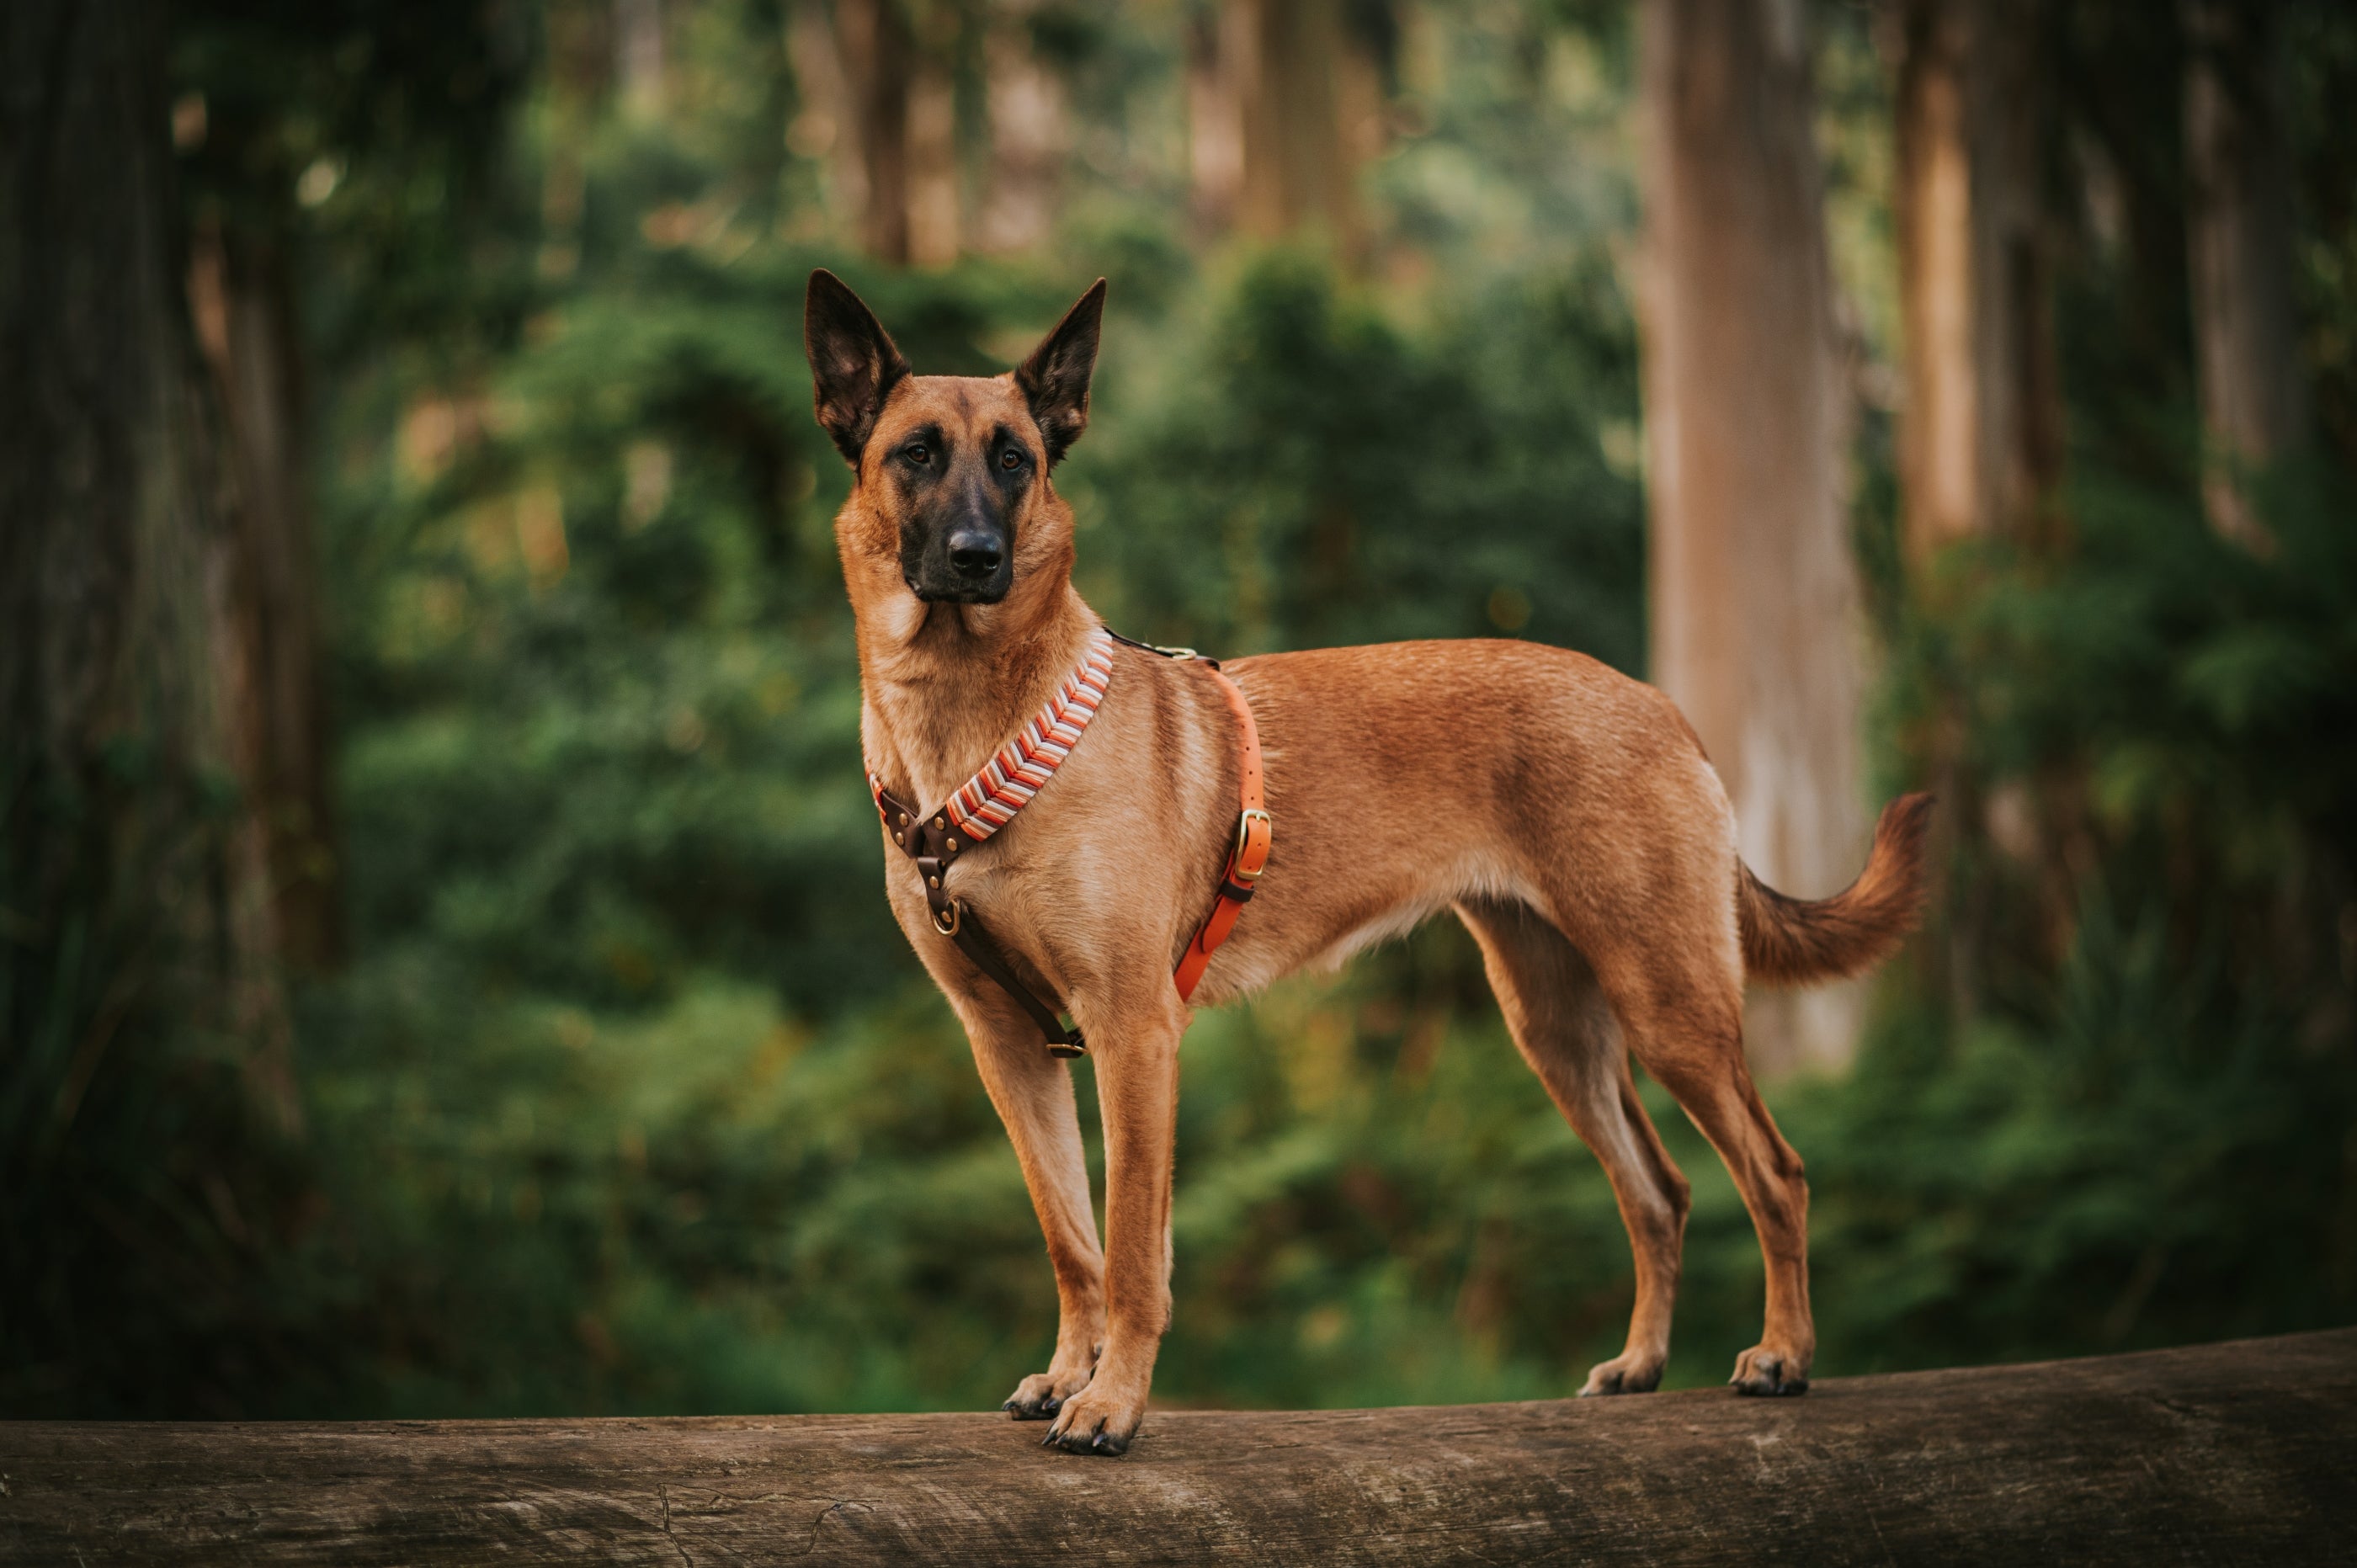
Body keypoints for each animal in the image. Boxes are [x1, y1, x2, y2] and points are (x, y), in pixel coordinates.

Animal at [811, 268, 1933, 1452]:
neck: (976, 715)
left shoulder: (1132, 1034)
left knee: (1776, 1172)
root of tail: (1657, 707)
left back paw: (1784, 1355)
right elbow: (1070, 1237)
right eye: (916, 454)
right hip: (1557, 1028)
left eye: (1016, 459)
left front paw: (1111, 1404)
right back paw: (1640, 1363)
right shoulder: (1011, 1046)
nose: (978, 558)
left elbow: (1130, 1256)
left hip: (1668, 1004)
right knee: (1658, 1190)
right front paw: (1071, 1375)